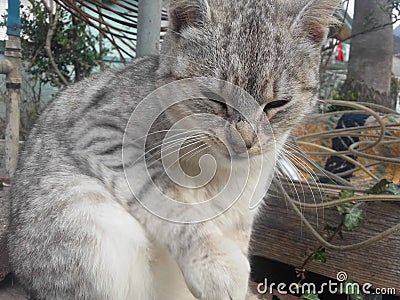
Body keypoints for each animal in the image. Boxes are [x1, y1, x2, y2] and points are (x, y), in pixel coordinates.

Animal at [6, 0, 338, 298]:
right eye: (216, 100)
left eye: (277, 104)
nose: (245, 140)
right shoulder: (102, 133)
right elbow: (174, 202)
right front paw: (216, 263)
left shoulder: (246, 207)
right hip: (87, 218)